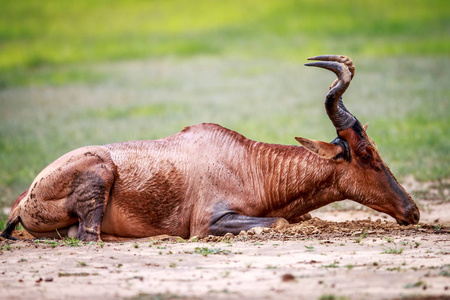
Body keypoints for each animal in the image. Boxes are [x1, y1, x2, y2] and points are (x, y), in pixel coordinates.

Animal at [0, 55, 422, 241]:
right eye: (366, 154)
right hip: (99, 172)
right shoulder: (209, 222)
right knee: (86, 235)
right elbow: (280, 222)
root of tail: (20, 201)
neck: (247, 162)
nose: (413, 211)